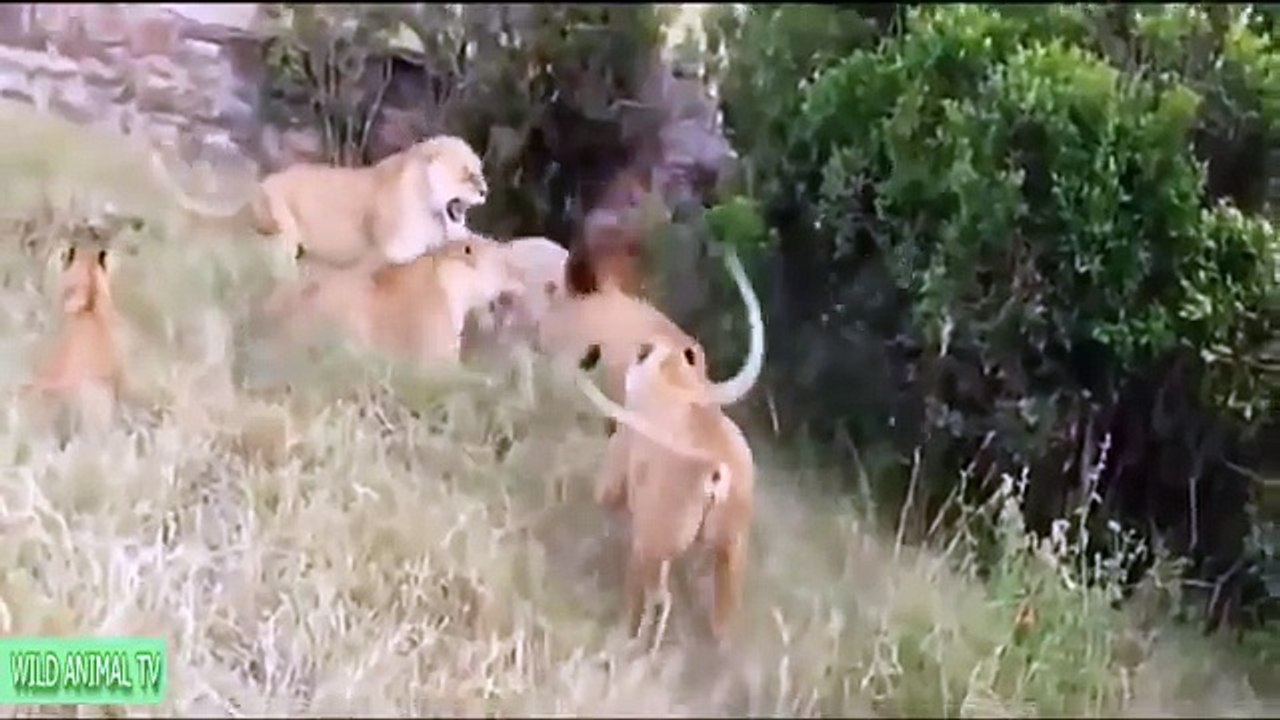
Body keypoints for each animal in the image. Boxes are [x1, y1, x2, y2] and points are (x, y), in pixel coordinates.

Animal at [151, 134, 489, 268]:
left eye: (480, 172)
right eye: (466, 175)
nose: (485, 191)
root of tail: (260, 186)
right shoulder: (393, 250)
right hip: (285, 231)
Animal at [574, 337, 755, 650]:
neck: (672, 375)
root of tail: (715, 472)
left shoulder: (614, 471)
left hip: (651, 543)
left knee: (656, 599)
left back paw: (628, 640)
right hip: (732, 555)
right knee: (720, 619)